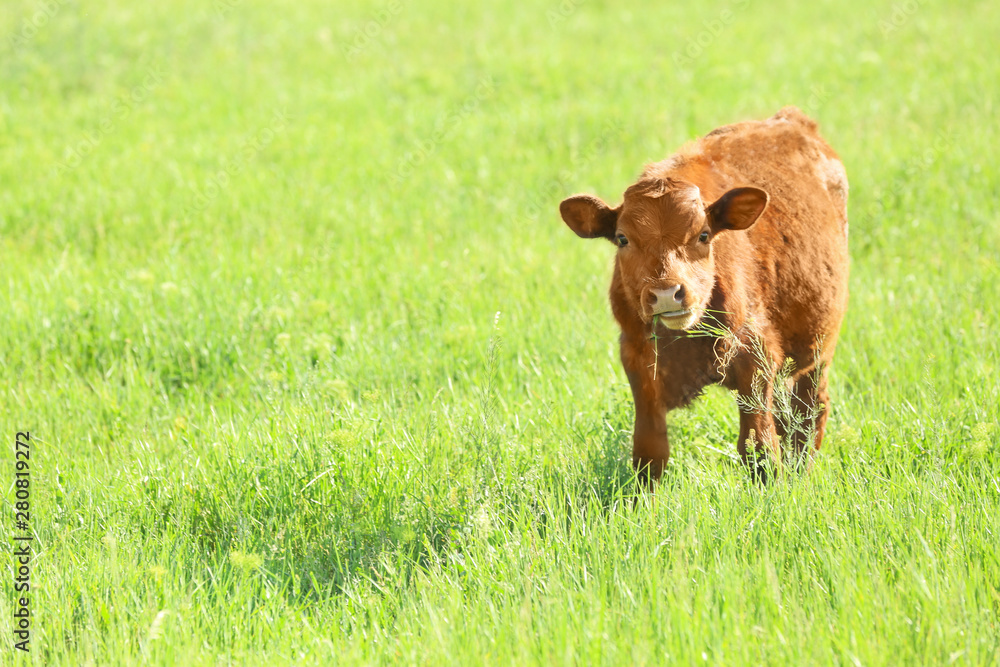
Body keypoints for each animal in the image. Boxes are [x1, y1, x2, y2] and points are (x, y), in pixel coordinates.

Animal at [560, 109, 848, 482]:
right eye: (622, 238)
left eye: (704, 234)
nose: (666, 293)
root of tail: (791, 119)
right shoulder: (638, 360)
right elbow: (649, 452)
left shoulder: (757, 354)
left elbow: (759, 449)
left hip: (818, 346)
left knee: (809, 411)